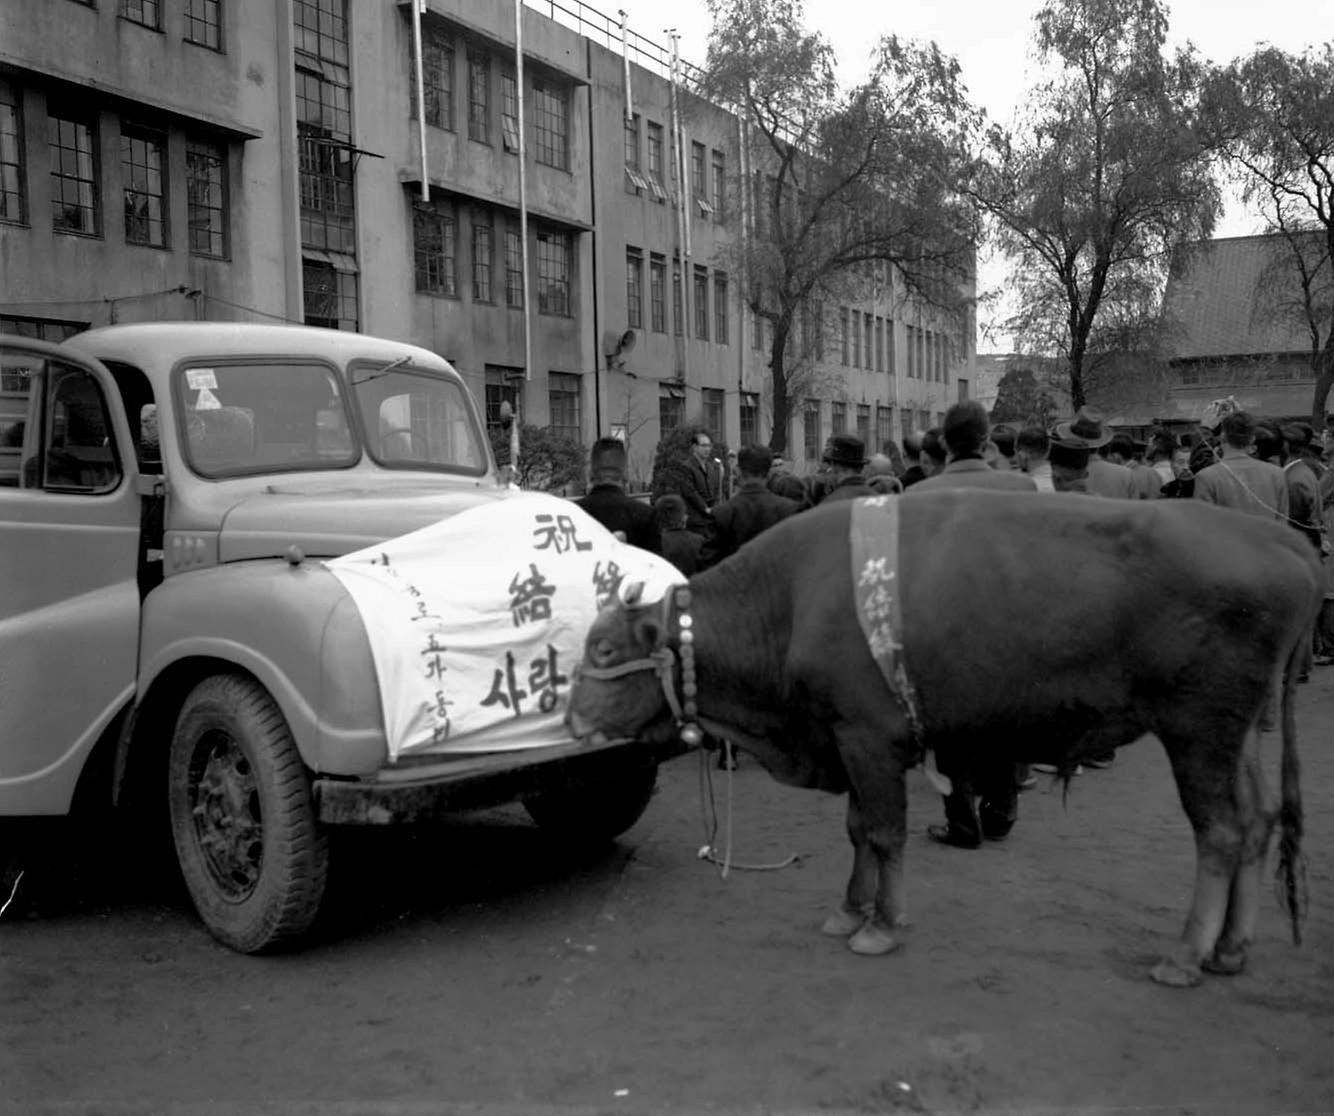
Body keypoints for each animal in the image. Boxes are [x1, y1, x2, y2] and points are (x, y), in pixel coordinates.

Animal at [560, 488, 1312, 986]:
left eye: (604, 651)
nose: (569, 718)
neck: (790, 600)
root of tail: (1279, 539)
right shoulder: (848, 740)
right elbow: (859, 832)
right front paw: (849, 909)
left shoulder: (869, 739)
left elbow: (885, 832)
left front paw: (881, 927)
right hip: (1237, 736)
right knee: (1257, 821)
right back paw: (1231, 948)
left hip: (1197, 731)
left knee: (1219, 833)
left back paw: (1187, 955)